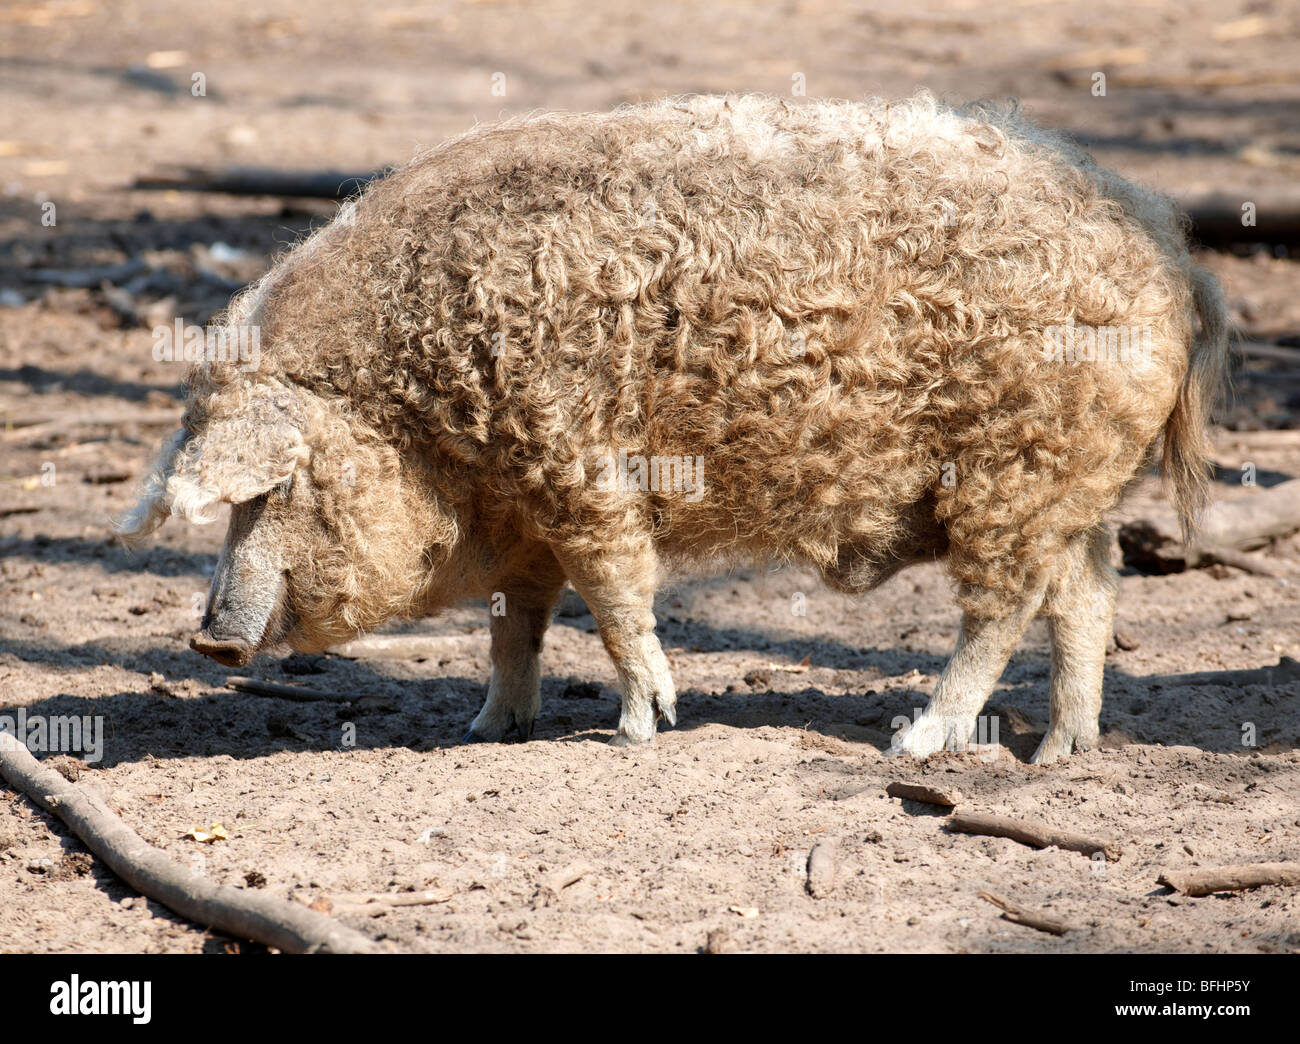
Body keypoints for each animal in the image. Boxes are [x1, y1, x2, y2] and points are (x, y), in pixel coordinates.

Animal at [118, 93, 1227, 761]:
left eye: (270, 491)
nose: (209, 639)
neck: (424, 411)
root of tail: (1170, 250)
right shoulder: (526, 520)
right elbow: (518, 621)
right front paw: (489, 728)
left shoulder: (577, 463)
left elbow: (615, 594)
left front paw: (642, 730)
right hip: (1073, 477)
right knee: (1086, 588)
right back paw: (1064, 751)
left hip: (1014, 466)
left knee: (1002, 607)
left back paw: (918, 743)